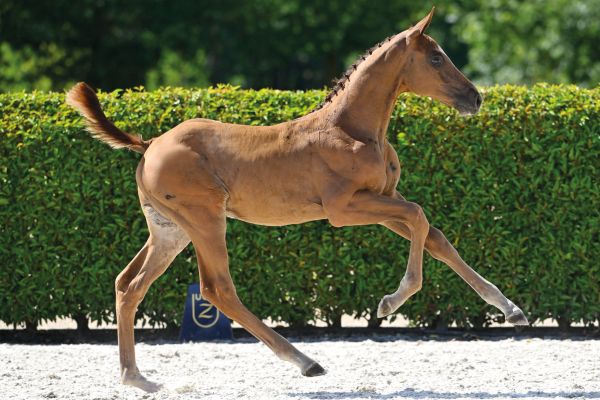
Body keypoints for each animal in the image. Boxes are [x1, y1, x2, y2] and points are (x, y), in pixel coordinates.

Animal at [65, 8, 528, 390]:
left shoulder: (382, 199)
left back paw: (136, 378)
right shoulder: (345, 209)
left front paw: (510, 309)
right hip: (205, 220)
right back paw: (306, 362)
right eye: (435, 58)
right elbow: (419, 217)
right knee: (217, 289)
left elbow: (435, 236)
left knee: (128, 285)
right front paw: (391, 301)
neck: (351, 130)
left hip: (169, 230)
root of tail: (148, 145)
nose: (475, 97)